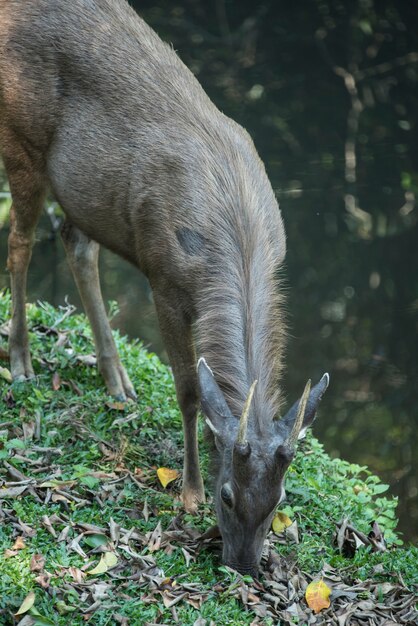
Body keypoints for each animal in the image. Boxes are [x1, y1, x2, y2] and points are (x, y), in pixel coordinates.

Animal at [0, 0, 328, 576]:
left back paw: (117, 381)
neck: (237, 236)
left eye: (279, 499)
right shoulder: (163, 277)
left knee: (75, 243)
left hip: (87, 194)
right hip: (20, 137)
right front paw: (188, 491)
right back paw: (21, 361)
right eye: (226, 495)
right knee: (20, 242)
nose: (243, 565)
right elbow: (190, 389)